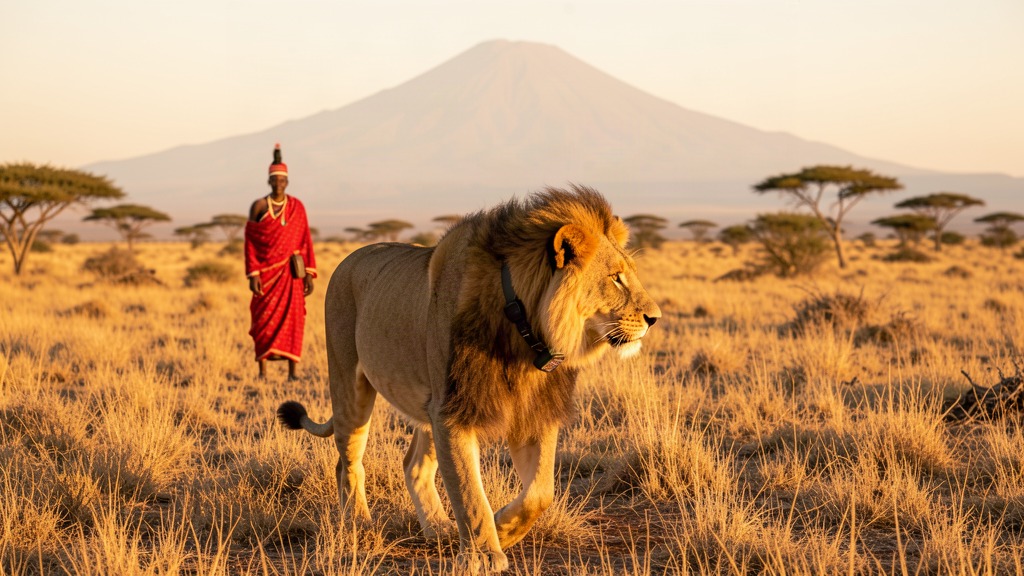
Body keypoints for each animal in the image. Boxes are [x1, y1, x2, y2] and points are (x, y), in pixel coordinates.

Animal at [277, 185, 661, 572]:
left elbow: (541, 492)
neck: (523, 336)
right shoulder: (453, 412)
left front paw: (504, 529)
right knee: (347, 462)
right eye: (615, 277)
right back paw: (359, 525)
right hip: (351, 385)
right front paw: (484, 555)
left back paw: (439, 528)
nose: (654, 318)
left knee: (413, 465)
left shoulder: (531, 412)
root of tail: (349, 257)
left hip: (429, 400)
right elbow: (469, 492)